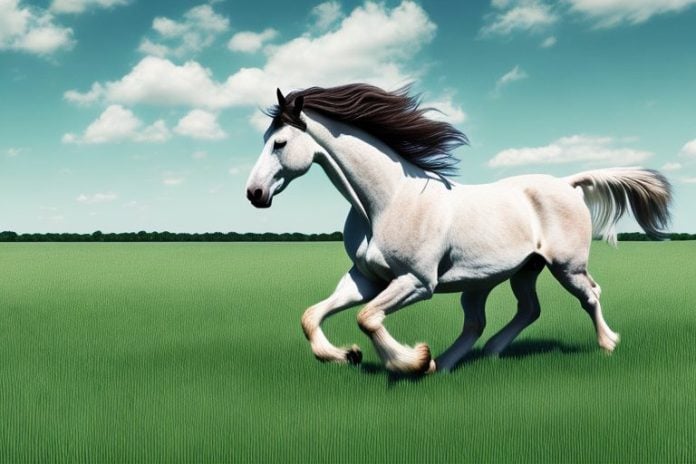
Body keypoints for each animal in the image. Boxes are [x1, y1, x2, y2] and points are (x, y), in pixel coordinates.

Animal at [245, 83, 672, 374]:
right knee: (510, 314)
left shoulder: (417, 282)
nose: (254, 193)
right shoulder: (367, 278)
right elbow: (312, 316)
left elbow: (367, 318)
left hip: (566, 266)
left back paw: (608, 344)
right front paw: (347, 355)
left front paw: (411, 360)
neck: (387, 201)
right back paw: (465, 359)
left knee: (589, 295)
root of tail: (567, 183)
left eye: (280, 143)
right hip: (510, 273)